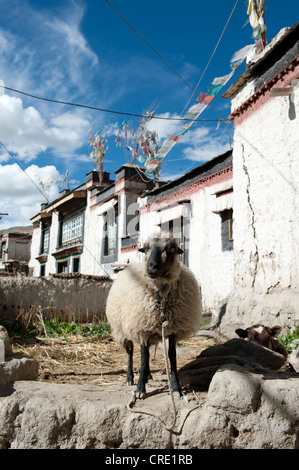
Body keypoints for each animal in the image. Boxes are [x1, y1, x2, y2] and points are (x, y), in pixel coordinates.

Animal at [105, 237, 202, 398]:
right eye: (145, 249)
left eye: (172, 250)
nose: (151, 267)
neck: (161, 297)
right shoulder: (142, 328)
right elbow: (143, 358)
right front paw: (140, 389)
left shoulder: (173, 330)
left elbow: (172, 356)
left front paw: (176, 387)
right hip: (123, 329)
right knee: (131, 351)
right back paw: (130, 377)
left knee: (149, 352)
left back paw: (148, 376)